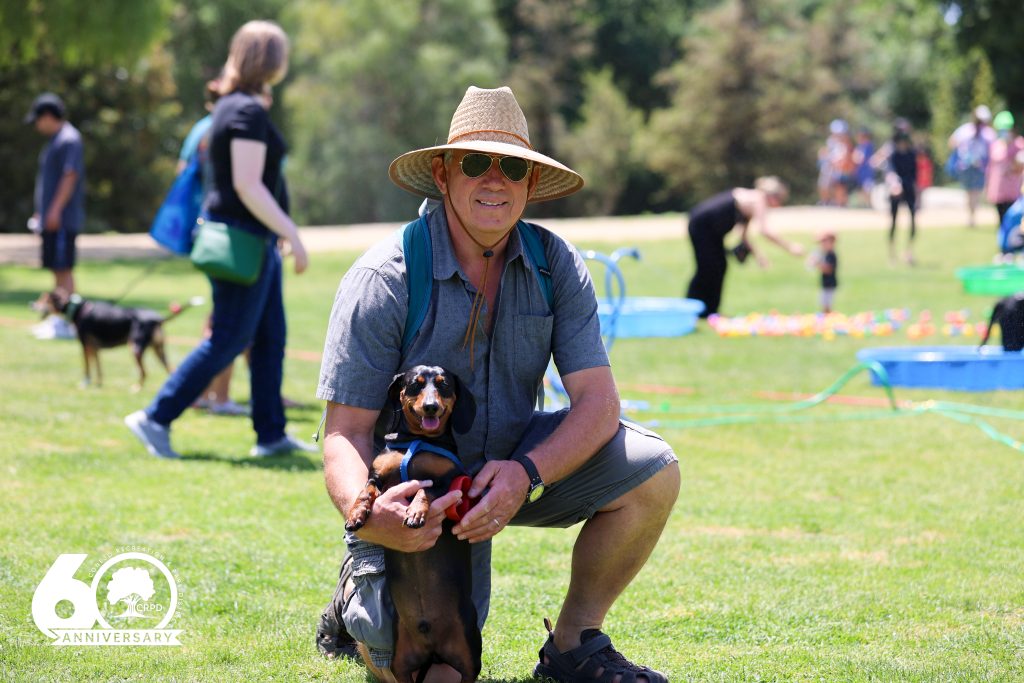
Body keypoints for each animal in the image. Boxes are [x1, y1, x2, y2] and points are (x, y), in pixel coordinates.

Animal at [33, 286, 200, 389]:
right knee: (172, 370)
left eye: (43, 299)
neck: (78, 309)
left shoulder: (85, 345)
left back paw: (136, 388)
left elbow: (87, 367)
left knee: (144, 372)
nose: (32, 304)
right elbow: (98, 368)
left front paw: (85, 384)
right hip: (158, 349)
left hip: (135, 347)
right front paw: (98, 384)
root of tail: (157, 319)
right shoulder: (94, 348)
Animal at [346, 366, 481, 683]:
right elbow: (366, 492)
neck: (416, 442)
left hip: (470, 652)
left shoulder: (445, 482)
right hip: (401, 662)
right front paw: (356, 515)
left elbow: (424, 491)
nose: (431, 406)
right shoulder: (377, 477)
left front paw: (417, 513)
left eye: (443, 386)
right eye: (415, 385)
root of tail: (433, 649)